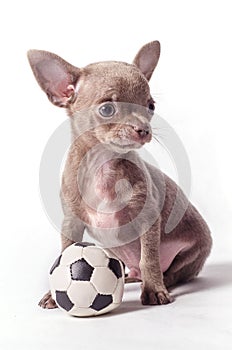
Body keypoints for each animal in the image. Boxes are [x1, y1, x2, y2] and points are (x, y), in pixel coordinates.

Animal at [27, 41, 212, 308]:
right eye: (107, 109)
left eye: (150, 106)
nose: (144, 129)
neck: (102, 165)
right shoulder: (71, 223)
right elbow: (64, 255)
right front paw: (53, 294)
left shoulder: (148, 219)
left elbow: (149, 258)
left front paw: (154, 289)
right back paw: (132, 277)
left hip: (193, 252)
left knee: (169, 271)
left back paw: (159, 282)